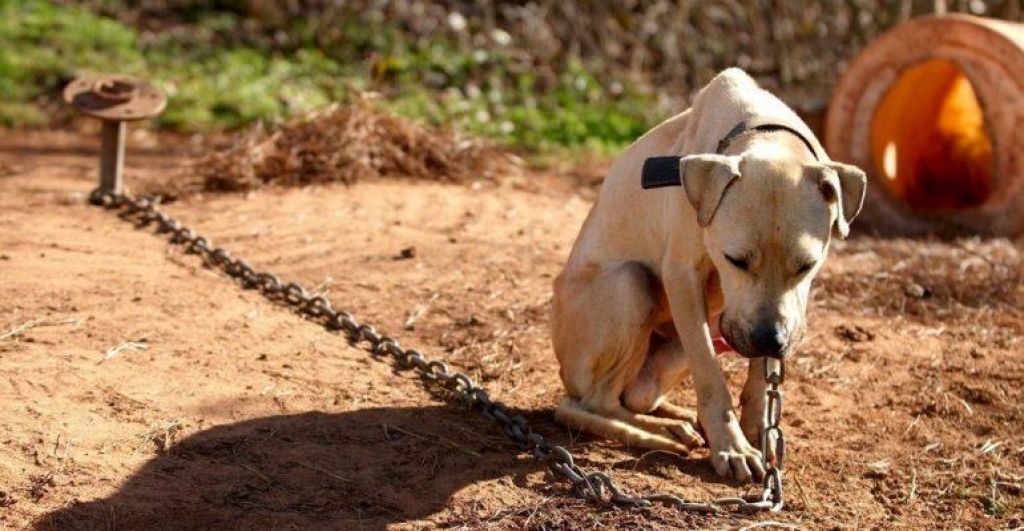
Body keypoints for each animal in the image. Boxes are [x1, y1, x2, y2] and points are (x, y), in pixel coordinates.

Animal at [552, 68, 864, 484]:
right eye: (735, 259)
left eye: (807, 265)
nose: (770, 340)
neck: (761, 130)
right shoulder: (683, 276)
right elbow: (711, 376)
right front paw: (732, 447)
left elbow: (760, 376)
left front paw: (758, 429)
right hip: (630, 284)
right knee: (590, 403)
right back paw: (661, 432)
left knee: (632, 396)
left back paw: (675, 418)